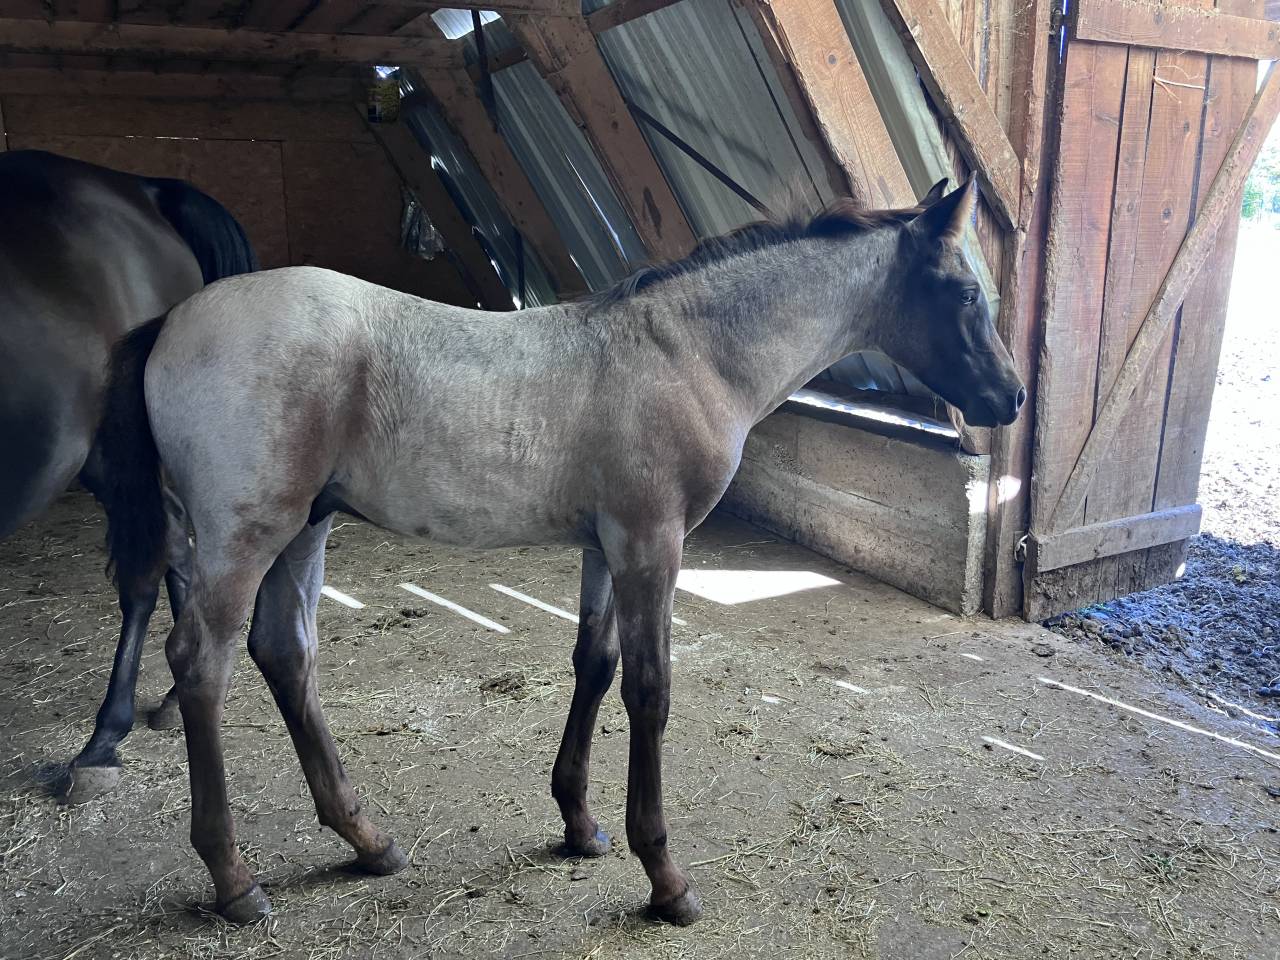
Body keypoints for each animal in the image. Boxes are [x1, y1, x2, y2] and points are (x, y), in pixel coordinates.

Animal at [0, 150, 258, 802]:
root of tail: (142, 190)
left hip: (119, 451)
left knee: (148, 565)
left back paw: (104, 740)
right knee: (176, 544)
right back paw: (171, 693)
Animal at [91, 176, 1024, 925]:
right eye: (963, 293)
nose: (1011, 397)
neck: (686, 351)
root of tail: (170, 321)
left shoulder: (606, 544)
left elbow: (595, 665)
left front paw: (578, 823)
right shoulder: (652, 542)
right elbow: (650, 690)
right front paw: (665, 877)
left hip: (307, 527)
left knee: (284, 652)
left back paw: (368, 840)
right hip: (247, 533)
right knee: (199, 663)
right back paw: (233, 877)